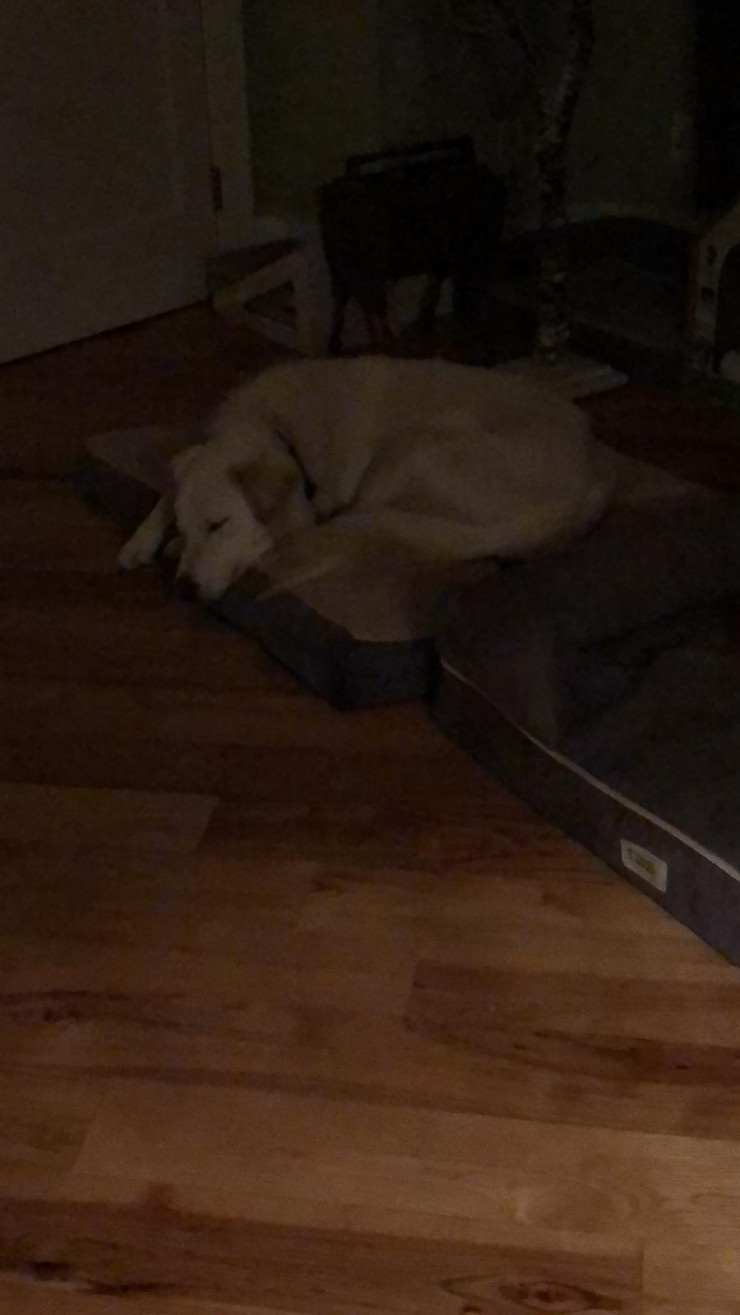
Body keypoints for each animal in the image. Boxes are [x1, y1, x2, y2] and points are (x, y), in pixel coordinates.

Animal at [118, 357, 615, 600]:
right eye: (191, 526)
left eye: (219, 525)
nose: (182, 591)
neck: (277, 425)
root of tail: (588, 488)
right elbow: (166, 493)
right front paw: (144, 540)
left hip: (411, 447)